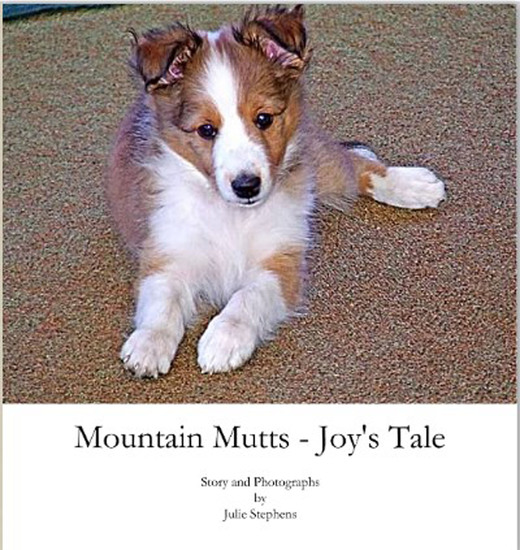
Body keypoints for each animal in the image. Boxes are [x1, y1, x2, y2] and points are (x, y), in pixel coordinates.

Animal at [106, 5, 446, 378]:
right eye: (206, 130)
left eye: (264, 119)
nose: (247, 186)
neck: (233, 216)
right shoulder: (167, 252)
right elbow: (161, 302)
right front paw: (149, 344)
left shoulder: (281, 261)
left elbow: (246, 299)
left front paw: (224, 341)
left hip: (318, 168)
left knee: (353, 165)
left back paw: (415, 185)